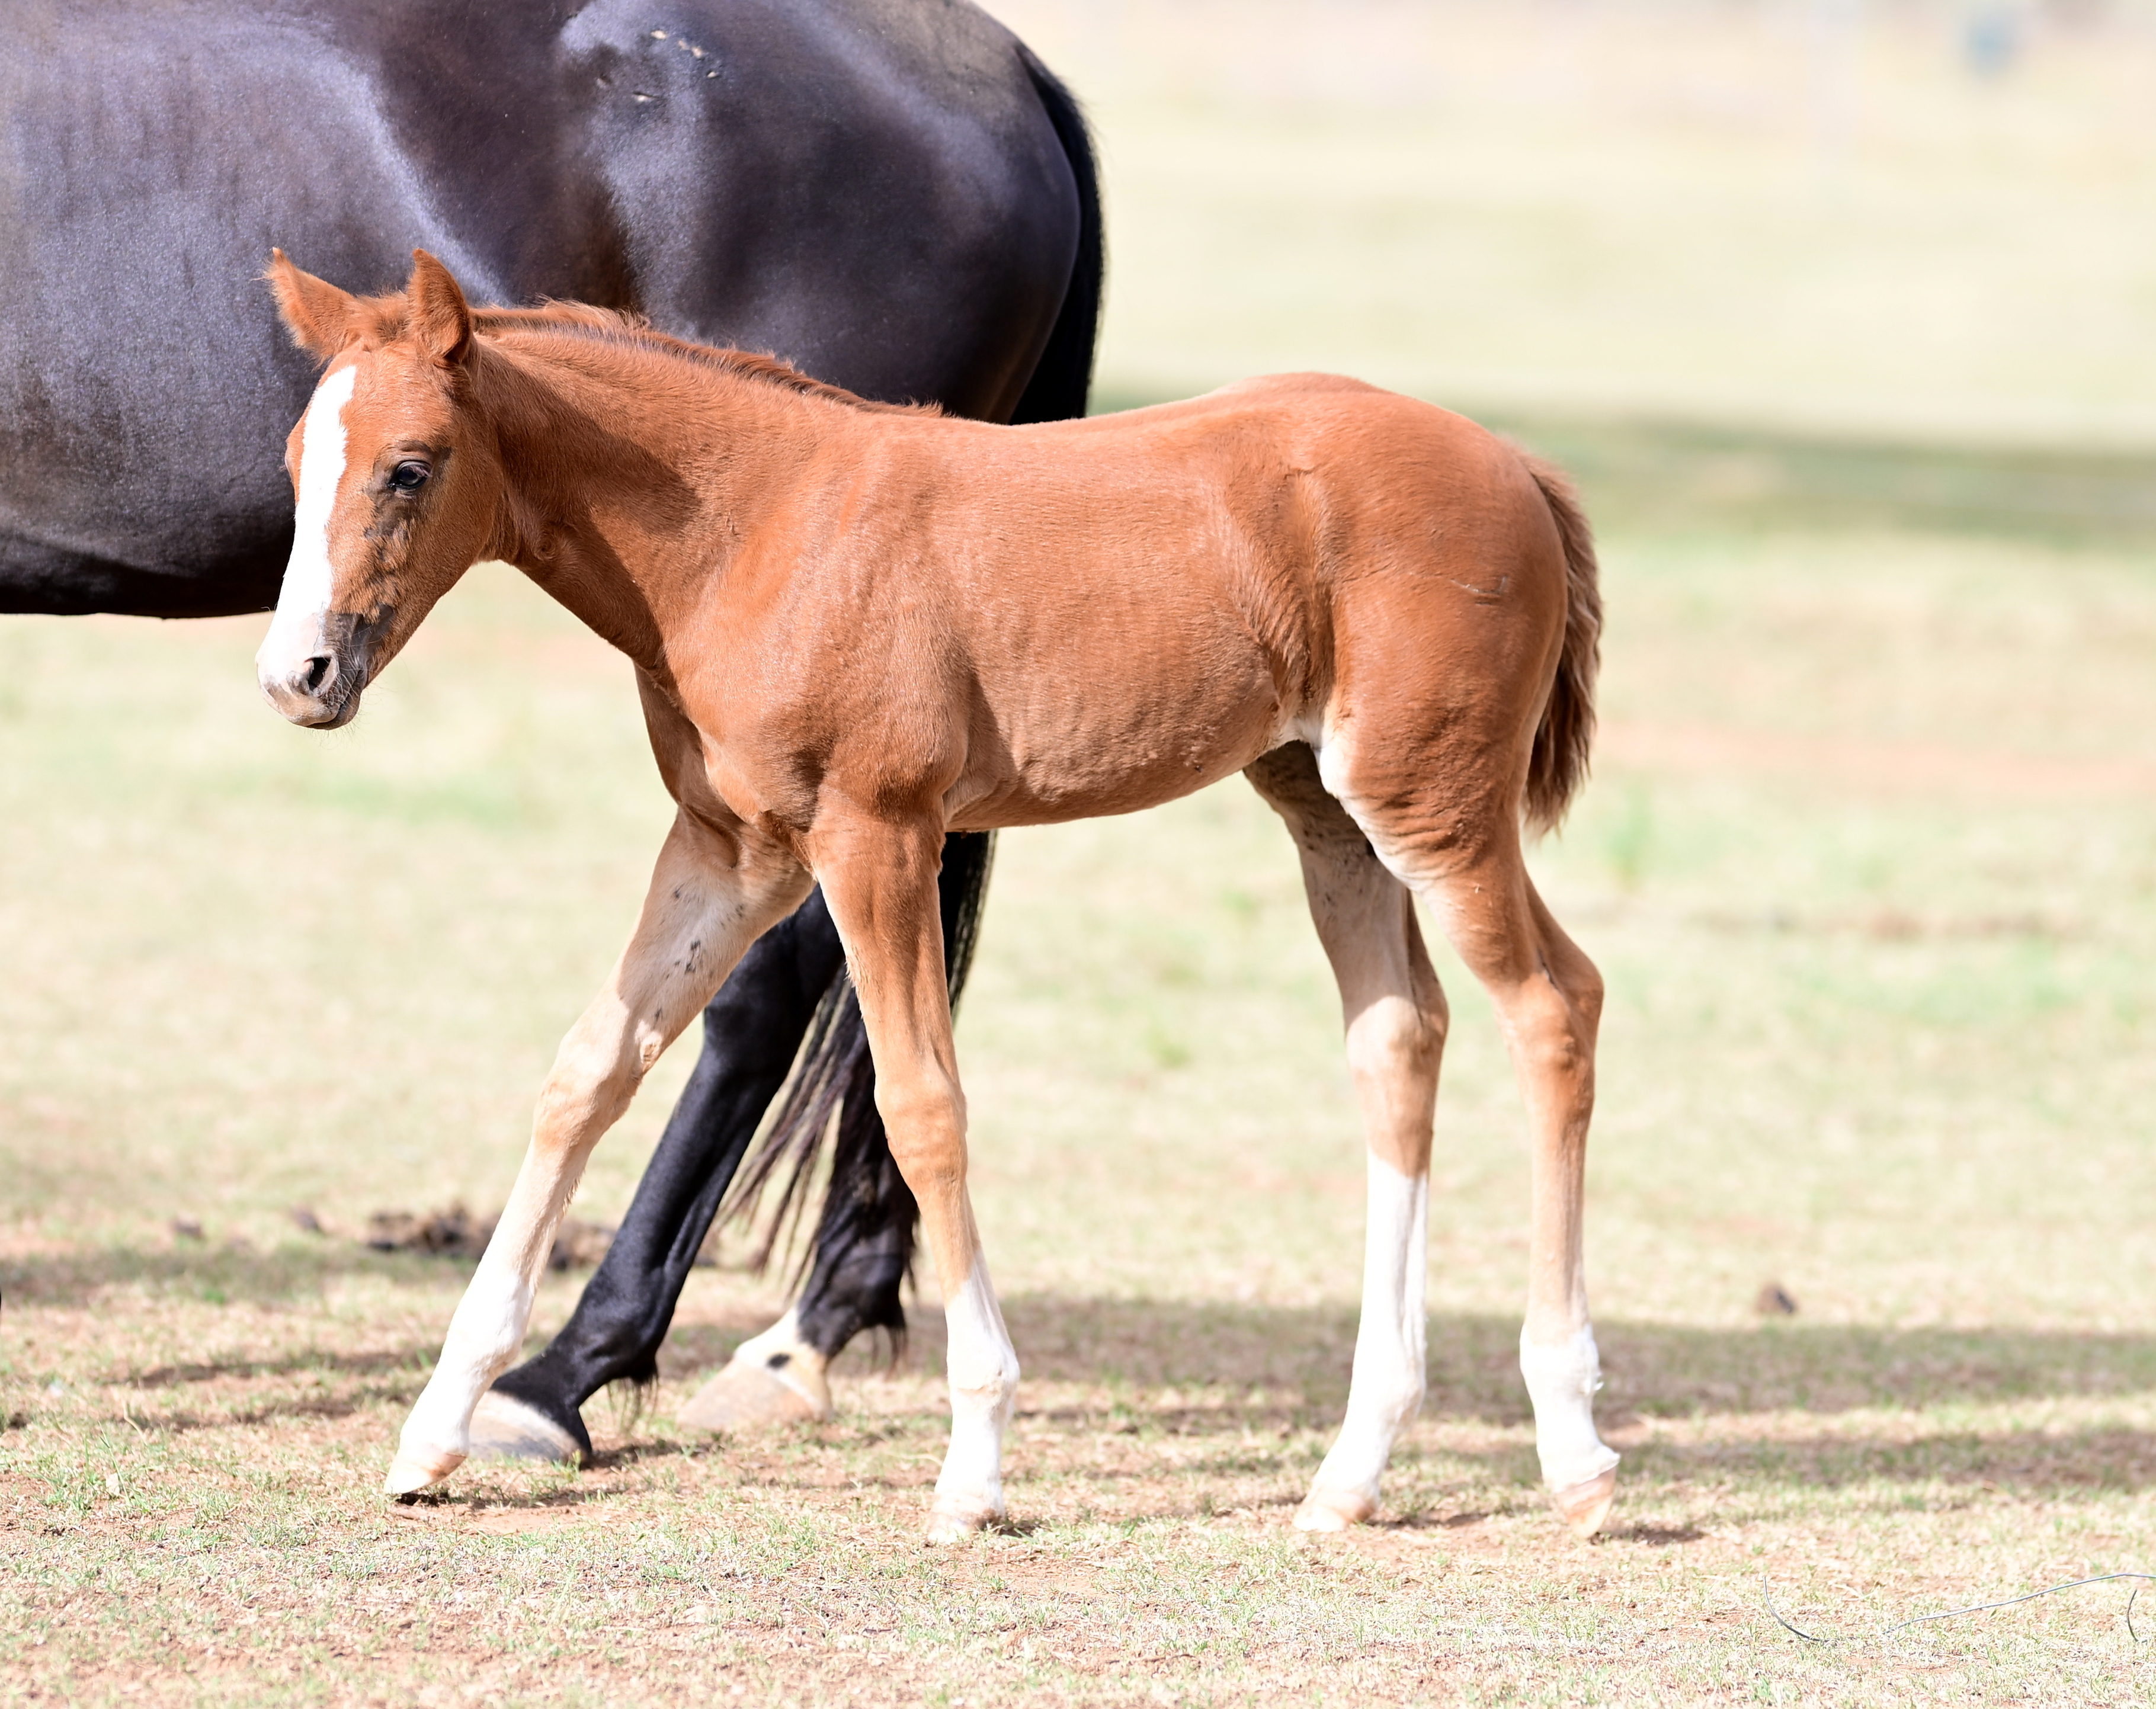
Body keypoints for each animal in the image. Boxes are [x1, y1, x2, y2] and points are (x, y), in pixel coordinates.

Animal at [1, 0, 1100, 1464]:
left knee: (773, 995)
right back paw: (798, 1331)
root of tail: (1007, 66)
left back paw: (574, 1365)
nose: (298, 673)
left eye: (410, 470)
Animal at [254, 248, 1619, 1541]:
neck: (753, 532)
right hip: (1324, 808)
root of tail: (1513, 465)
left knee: (1555, 1006)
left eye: (411, 468)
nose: (297, 675)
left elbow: (921, 1107)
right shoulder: (729, 849)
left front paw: (972, 1467)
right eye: (295, 464)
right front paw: (439, 1430)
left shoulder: (878, 837)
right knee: (1397, 1041)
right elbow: (586, 1073)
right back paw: (1351, 1473)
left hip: (1431, 807)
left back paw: (1573, 1452)